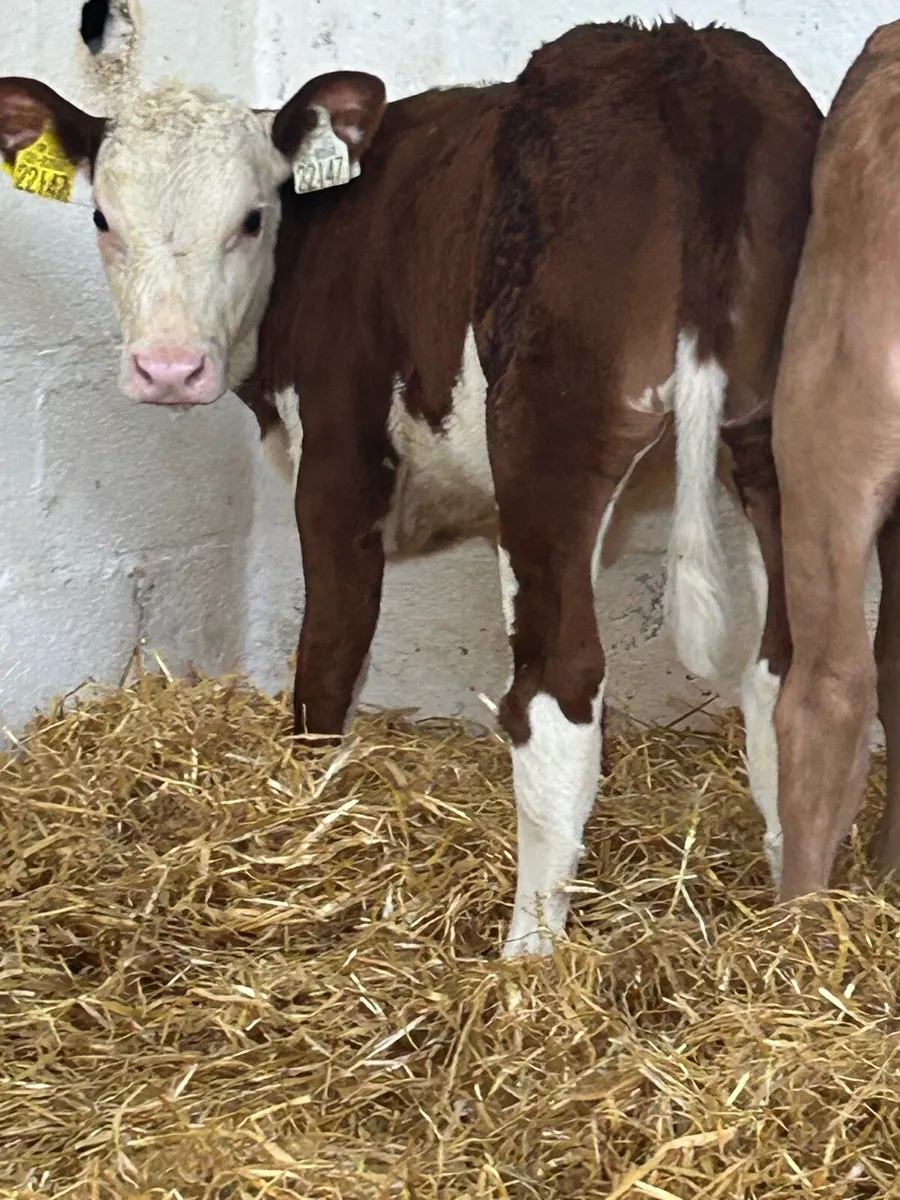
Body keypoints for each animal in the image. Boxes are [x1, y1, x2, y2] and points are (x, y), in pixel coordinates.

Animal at [0, 17, 822, 955]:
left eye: (251, 219)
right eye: (103, 218)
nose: (168, 369)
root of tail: (684, 60)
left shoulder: (339, 460)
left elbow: (328, 665)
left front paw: (301, 827)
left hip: (548, 442)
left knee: (556, 695)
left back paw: (527, 958)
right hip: (774, 442)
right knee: (784, 668)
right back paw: (794, 915)